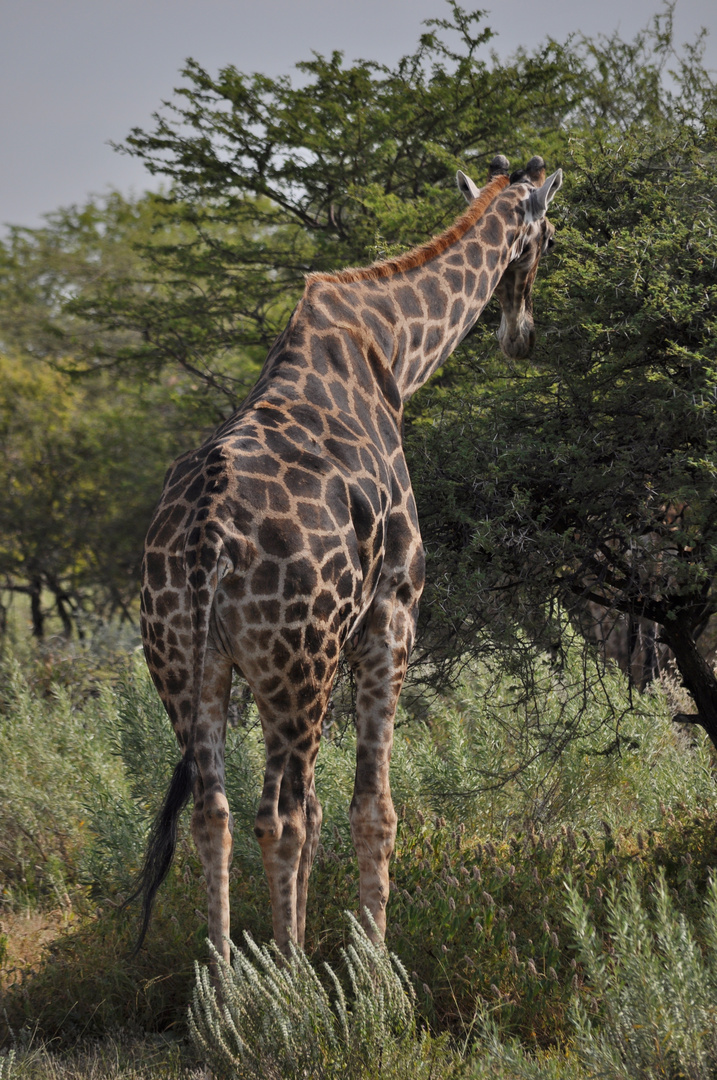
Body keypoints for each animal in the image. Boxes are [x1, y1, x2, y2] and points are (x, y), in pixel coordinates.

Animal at [132, 154, 561, 963]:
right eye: (550, 236)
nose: (521, 338)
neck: (392, 347)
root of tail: (206, 539)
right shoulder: (391, 617)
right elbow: (373, 809)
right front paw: (372, 967)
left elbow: (326, 809)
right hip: (293, 663)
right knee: (278, 815)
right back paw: (288, 980)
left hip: (191, 666)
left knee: (216, 811)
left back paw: (227, 978)